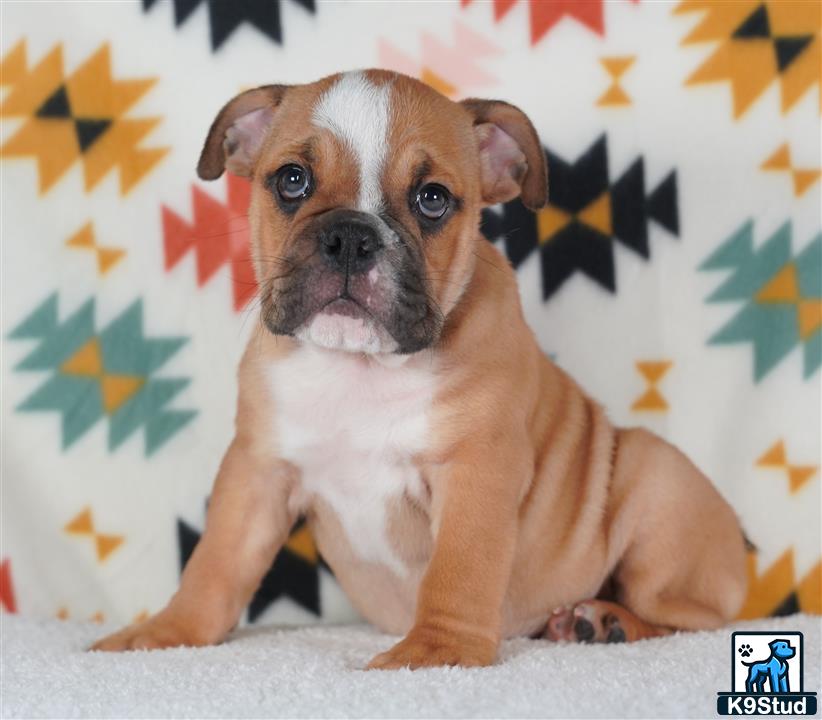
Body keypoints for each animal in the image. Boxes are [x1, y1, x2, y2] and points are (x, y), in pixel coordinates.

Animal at [93, 70, 748, 668]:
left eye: (431, 198)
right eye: (291, 180)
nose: (350, 236)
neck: (359, 368)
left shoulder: (476, 469)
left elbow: (459, 568)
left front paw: (437, 650)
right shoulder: (258, 469)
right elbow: (216, 561)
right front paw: (166, 633)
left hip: (656, 477)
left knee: (690, 618)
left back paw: (606, 621)